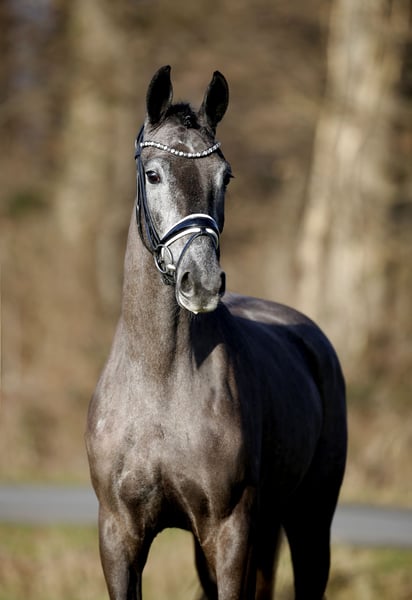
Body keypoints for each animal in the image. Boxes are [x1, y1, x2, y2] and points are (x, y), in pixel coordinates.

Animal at [86, 65, 347, 600]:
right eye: (153, 174)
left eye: (225, 176)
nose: (201, 282)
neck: (161, 380)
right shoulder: (118, 536)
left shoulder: (228, 531)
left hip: (310, 521)